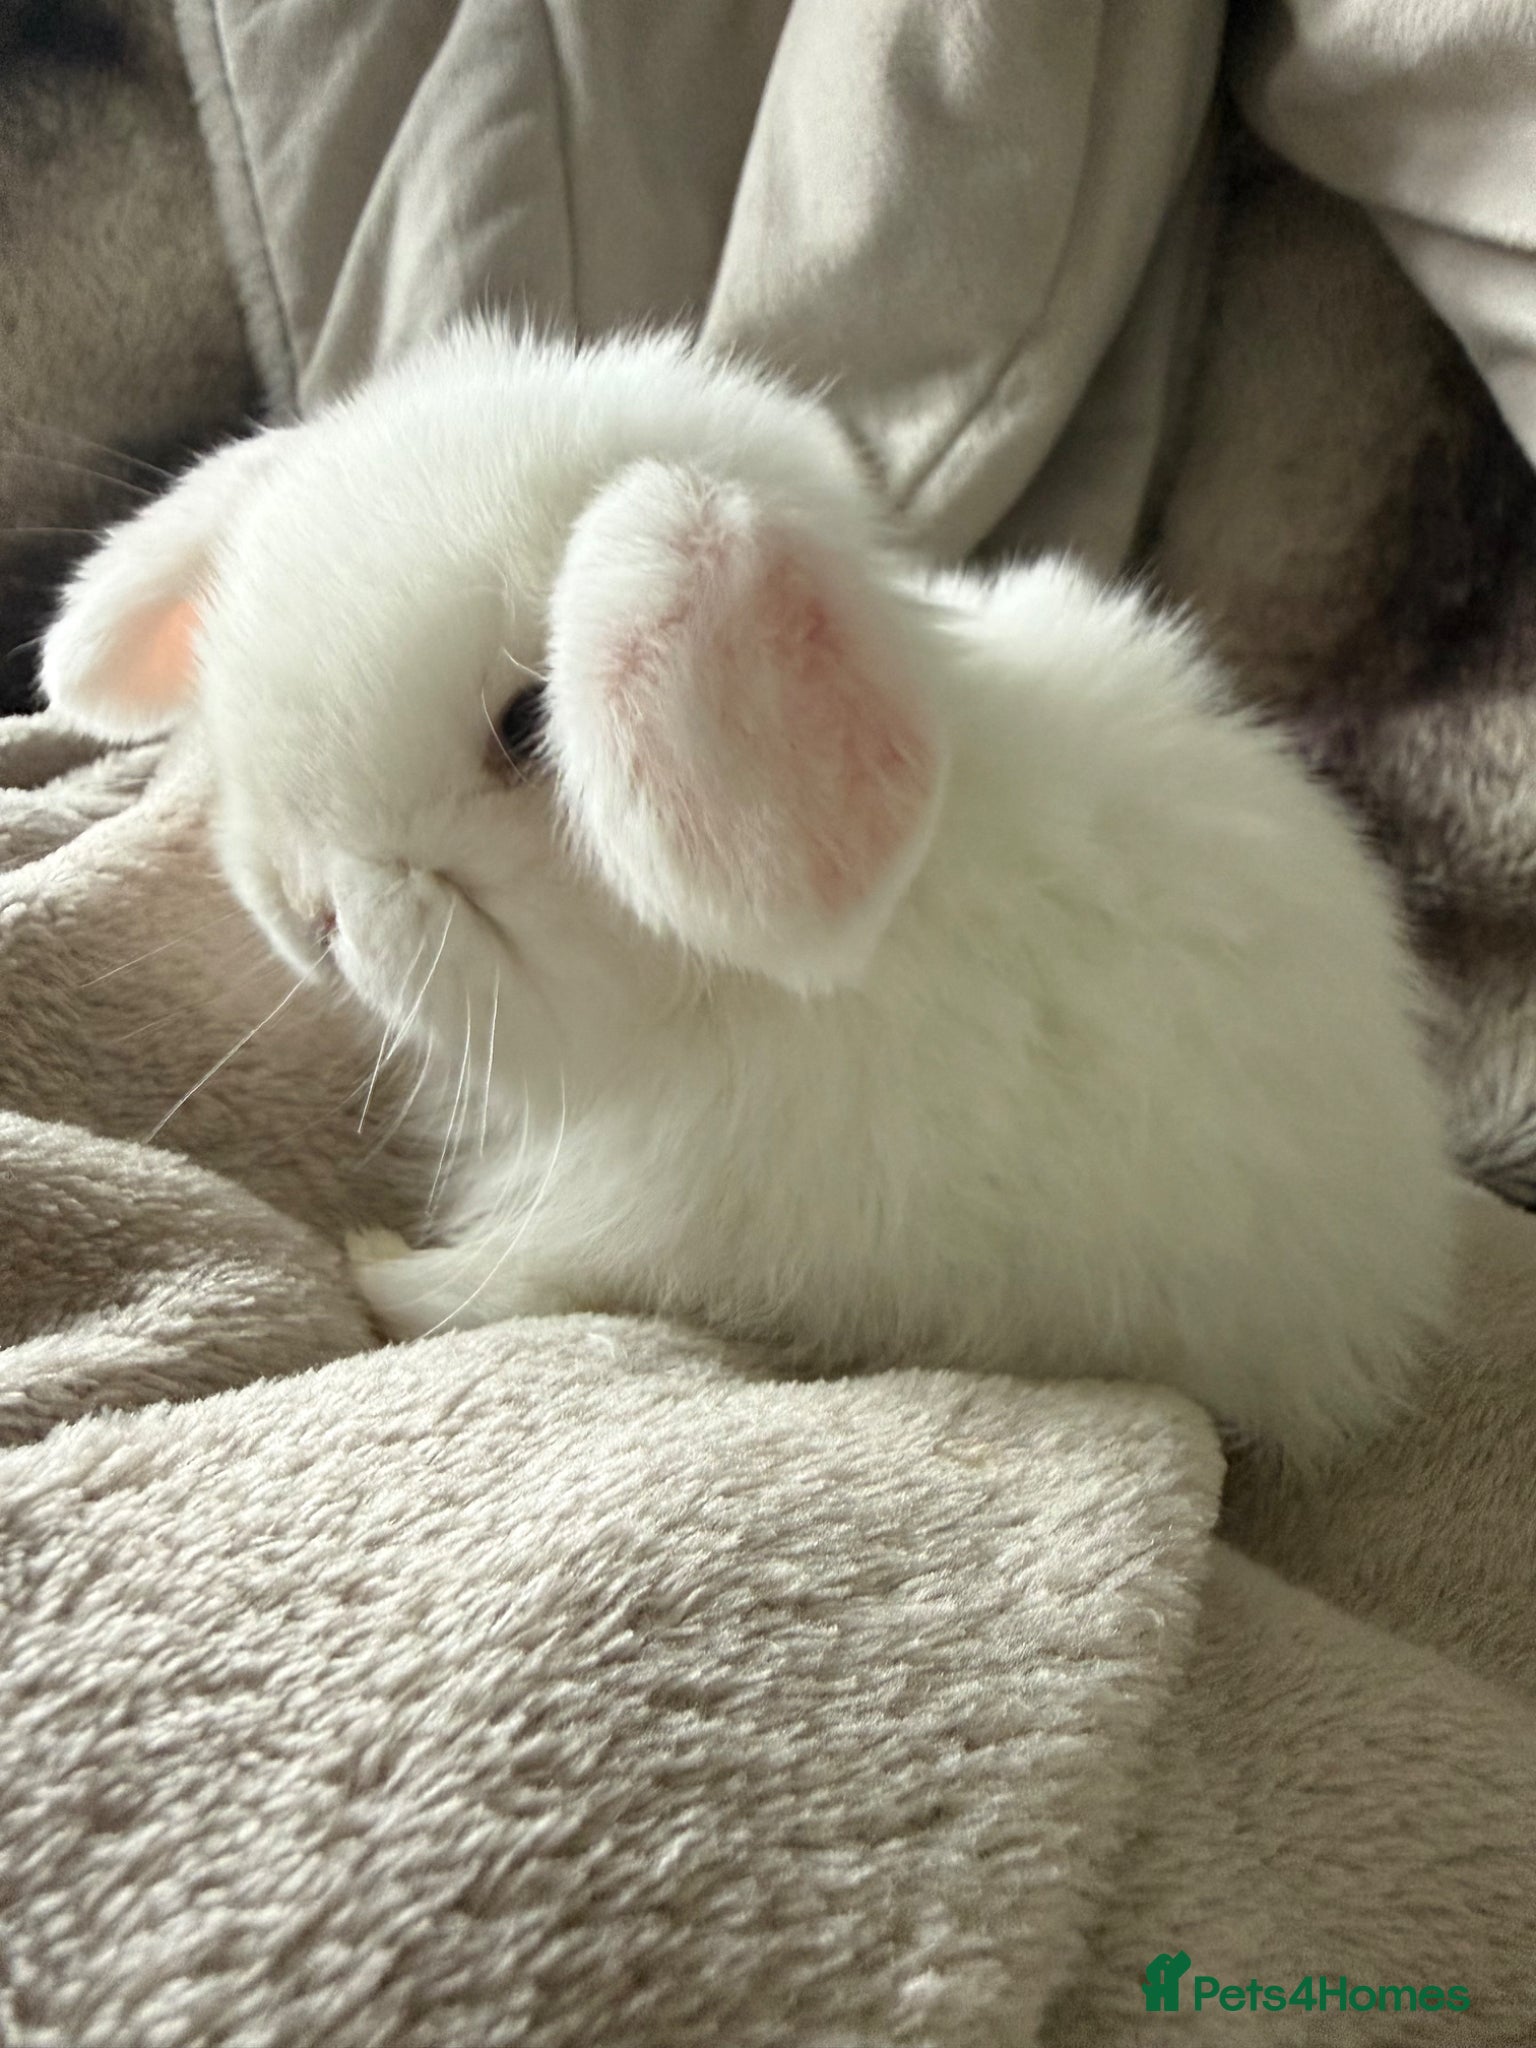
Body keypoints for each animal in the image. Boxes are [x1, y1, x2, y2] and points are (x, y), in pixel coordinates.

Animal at [39, 322, 1457, 1463]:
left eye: (528, 727)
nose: (308, 905)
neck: (713, 997)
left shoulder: (645, 1225)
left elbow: (508, 1287)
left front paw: (378, 1267)